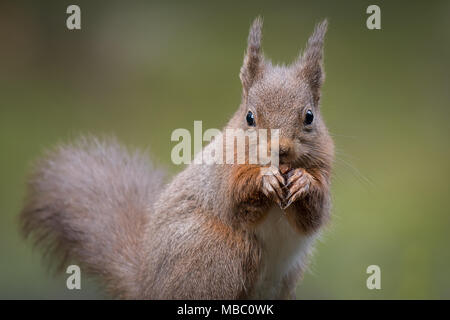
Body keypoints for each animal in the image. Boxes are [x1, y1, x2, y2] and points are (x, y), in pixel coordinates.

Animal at [20, 17, 334, 298]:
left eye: (309, 116)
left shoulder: (324, 170)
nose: (280, 150)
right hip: (219, 251)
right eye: (249, 117)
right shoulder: (220, 173)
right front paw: (264, 179)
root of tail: (147, 285)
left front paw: (304, 182)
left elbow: (314, 216)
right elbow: (235, 199)